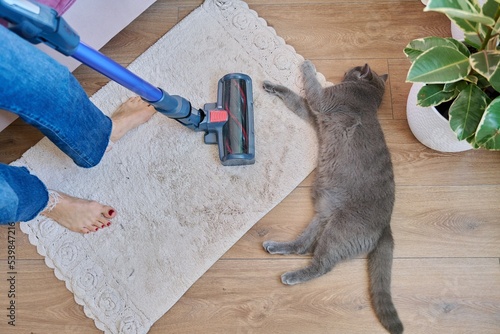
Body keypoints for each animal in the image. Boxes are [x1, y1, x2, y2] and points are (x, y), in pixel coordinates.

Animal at [264, 60, 404, 334]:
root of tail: (387, 227)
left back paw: (291, 276)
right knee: (302, 246)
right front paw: (272, 86)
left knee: (322, 265)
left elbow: (310, 87)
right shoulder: (314, 113)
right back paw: (276, 247)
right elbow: (294, 98)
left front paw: (306, 65)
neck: (369, 96)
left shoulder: (322, 102)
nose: (351, 67)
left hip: (338, 229)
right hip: (323, 216)